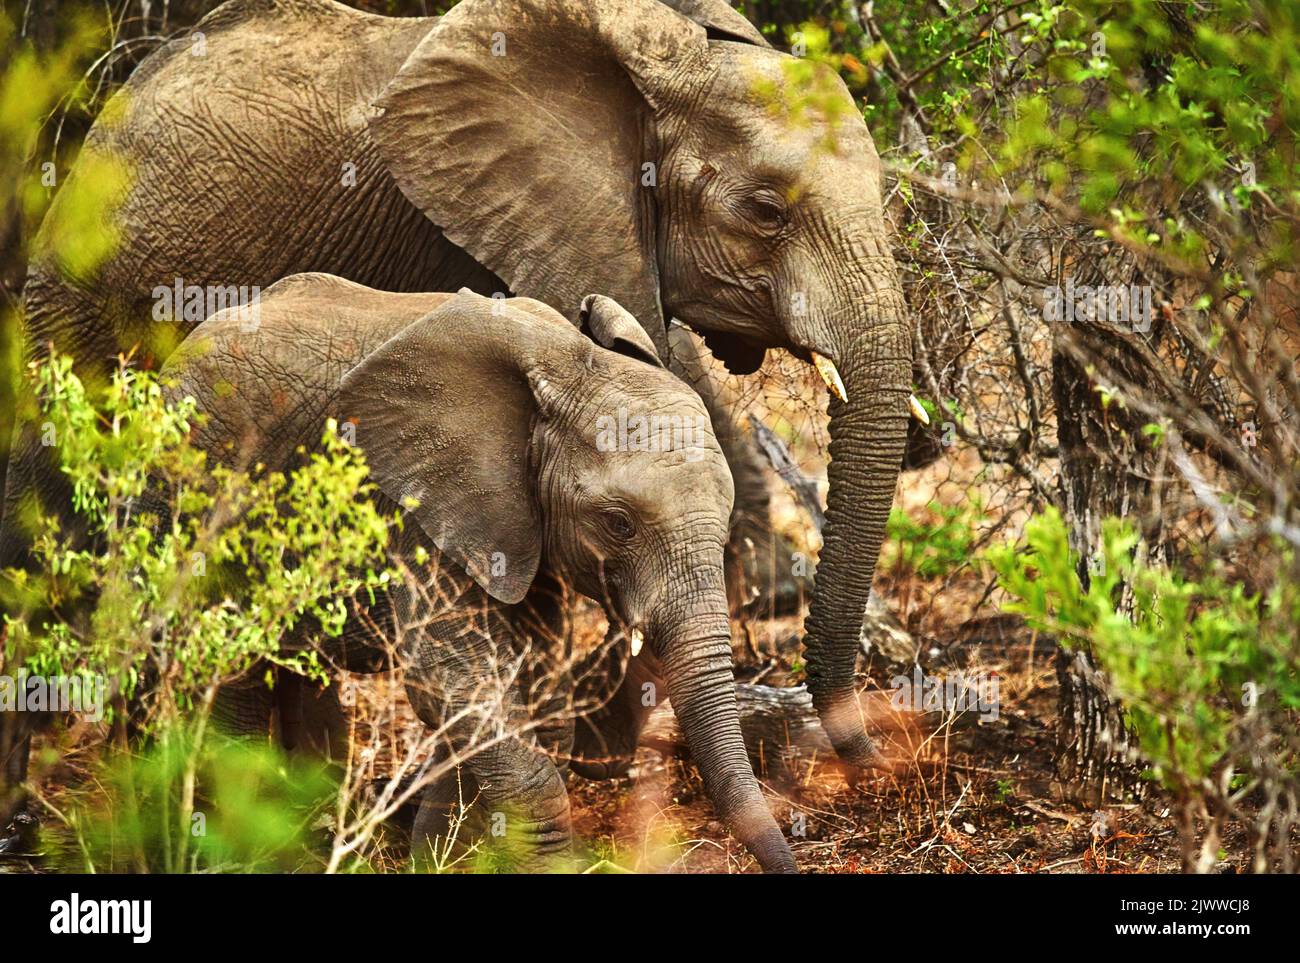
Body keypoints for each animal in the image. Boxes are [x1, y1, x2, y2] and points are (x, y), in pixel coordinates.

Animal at [162, 272, 790, 873]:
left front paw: (436, 857)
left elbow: (524, 693)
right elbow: (453, 681)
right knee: (232, 664)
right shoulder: (421, 509)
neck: (567, 367)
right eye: (619, 524)